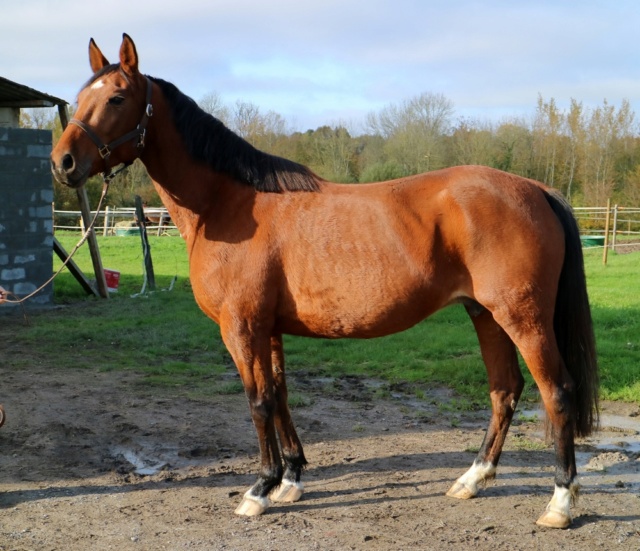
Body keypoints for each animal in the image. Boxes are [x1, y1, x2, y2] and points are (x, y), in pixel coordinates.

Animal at [51, 35, 600, 532]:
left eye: (117, 97)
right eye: (80, 97)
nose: (63, 163)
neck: (227, 205)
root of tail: (537, 190)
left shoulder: (241, 327)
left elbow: (258, 401)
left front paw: (260, 488)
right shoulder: (268, 328)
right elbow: (280, 395)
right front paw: (291, 478)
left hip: (522, 317)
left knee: (557, 392)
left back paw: (559, 502)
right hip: (485, 313)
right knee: (505, 390)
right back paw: (472, 479)